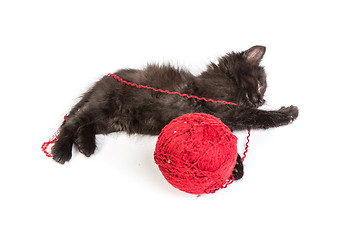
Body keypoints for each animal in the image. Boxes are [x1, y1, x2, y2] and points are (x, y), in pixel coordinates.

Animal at [50, 45, 298, 180]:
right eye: (260, 84)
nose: (261, 99)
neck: (225, 81)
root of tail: (104, 79)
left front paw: (233, 167)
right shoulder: (224, 110)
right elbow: (258, 117)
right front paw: (288, 113)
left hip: (112, 121)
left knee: (85, 125)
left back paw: (85, 145)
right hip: (103, 105)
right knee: (71, 122)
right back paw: (61, 151)